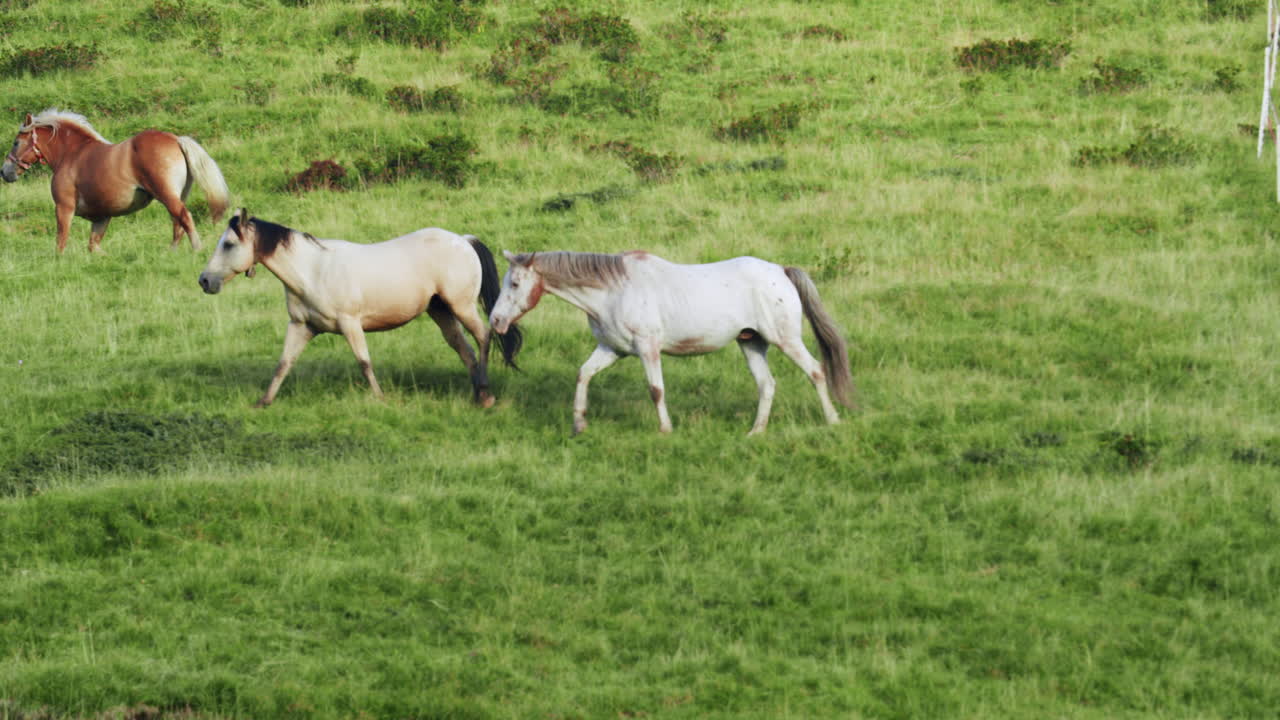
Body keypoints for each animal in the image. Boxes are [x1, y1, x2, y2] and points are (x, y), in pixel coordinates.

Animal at [1, 108, 229, 253]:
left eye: (16, 143)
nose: (5, 172)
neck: (72, 154)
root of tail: (176, 140)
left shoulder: (64, 208)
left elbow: (61, 241)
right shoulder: (102, 217)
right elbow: (94, 247)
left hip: (166, 194)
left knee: (184, 218)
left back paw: (196, 249)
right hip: (177, 195)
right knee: (178, 223)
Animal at [198, 209, 523, 408]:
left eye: (228, 244)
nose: (204, 280)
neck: (312, 270)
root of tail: (464, 241)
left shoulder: (350, 324)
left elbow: (364, 362)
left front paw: (380, 398)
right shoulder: (302, 327)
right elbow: (283, 364)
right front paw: (263, 402)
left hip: (461, 306)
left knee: (483, 337)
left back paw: (485, 393)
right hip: (440, 311)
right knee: (464, 349)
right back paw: (477, 393)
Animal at [488, 249, 855, 435]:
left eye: (515, 283)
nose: (496, 321)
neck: (614, 290)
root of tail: (781, 270)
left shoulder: (647, 348)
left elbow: (656, 390)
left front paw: (665, 429)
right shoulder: (613, 350)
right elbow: (583, 374)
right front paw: (579, 423)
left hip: (785, 339)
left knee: (816, 371)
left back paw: (833, 420)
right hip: (751, 343)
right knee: (767, 384)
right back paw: (756, 431)